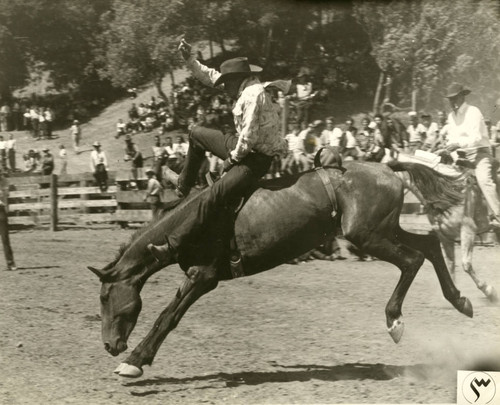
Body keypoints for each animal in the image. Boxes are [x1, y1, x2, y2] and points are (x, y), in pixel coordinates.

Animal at [87, 148, 472, 378]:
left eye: (105, 297)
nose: (109, 345)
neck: (193, 220)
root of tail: (385, 167)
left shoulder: (203, 277)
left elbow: (168, 317)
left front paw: (135, 361)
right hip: (384, 229)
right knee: (430, 244)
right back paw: (461, 301)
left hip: (368, 235)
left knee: (413, 259)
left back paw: (395, 320)